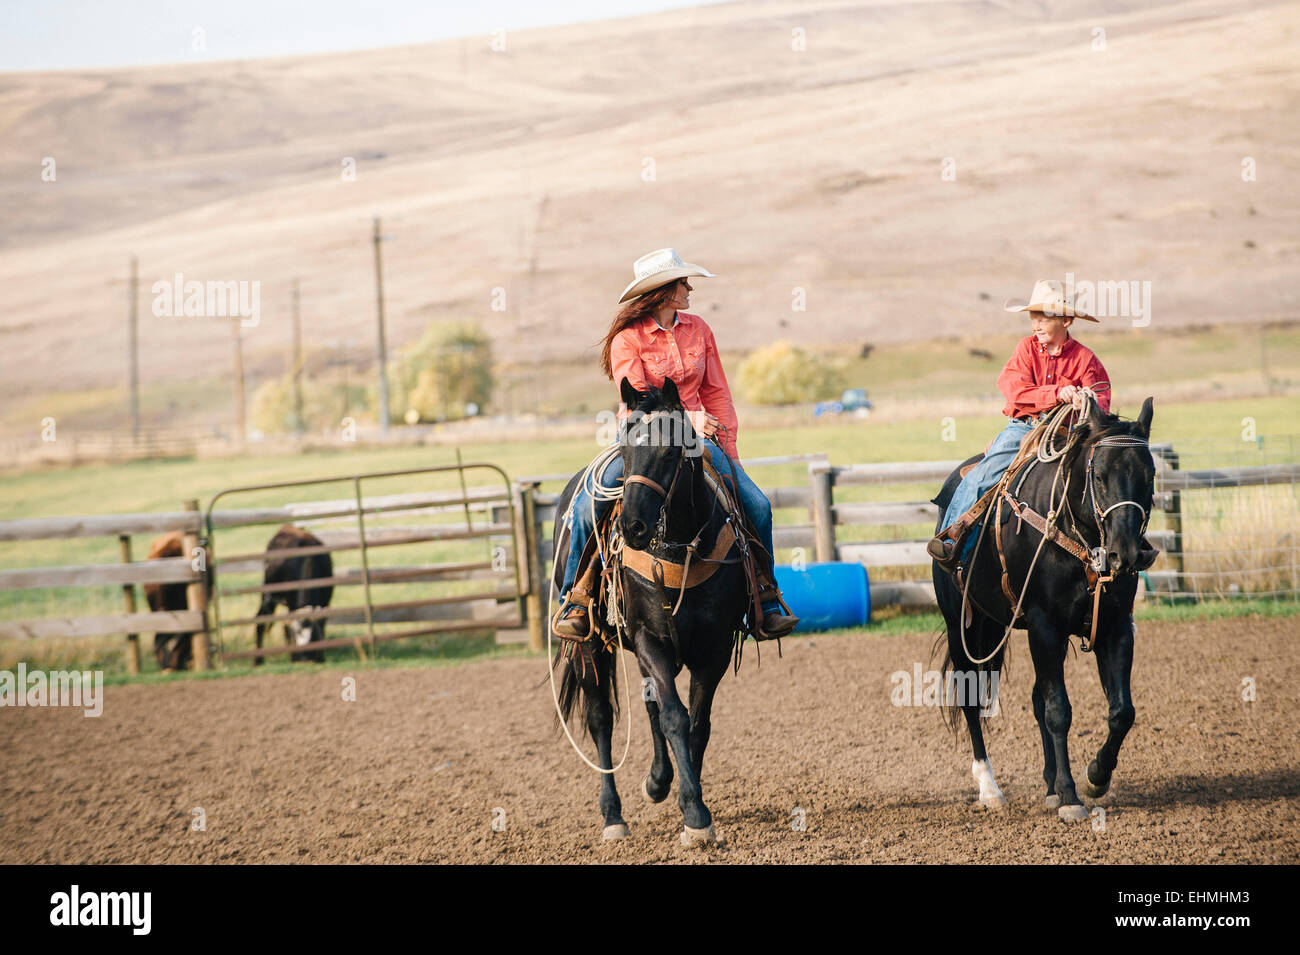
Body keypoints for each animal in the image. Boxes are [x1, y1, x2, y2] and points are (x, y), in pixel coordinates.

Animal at [253, 522, 332, 665]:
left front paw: (321, 656)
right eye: (295, 635)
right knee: (260, 622)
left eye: (313, 636)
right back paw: (258, 660)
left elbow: (322, 626)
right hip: (267, 596)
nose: (305, 659)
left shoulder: (325, 601)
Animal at [551, 379, 754, 841]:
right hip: (590, 644)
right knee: (601, 718)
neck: (678, 550)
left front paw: (684, 798)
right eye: (625, 452)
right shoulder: (649, 639)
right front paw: (695, 813)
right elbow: (675, 717)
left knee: (650, 708)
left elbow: (696, 724)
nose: (632, 528)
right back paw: (613, 816)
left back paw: (659, 781)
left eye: (668, 452)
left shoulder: (713, 650)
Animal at [935, 400, 1159, 826]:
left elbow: (1121, 711)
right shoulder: (1044, 625)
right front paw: (1072, 796)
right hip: (964, 628)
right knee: (972, 701)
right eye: (1098, 475)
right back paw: (990, 788)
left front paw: (1094, 778)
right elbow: (1059, 711)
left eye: (1149, 475)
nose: (1125, 553)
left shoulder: (1115, 626)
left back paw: (1050, 786)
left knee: (1037, 698)